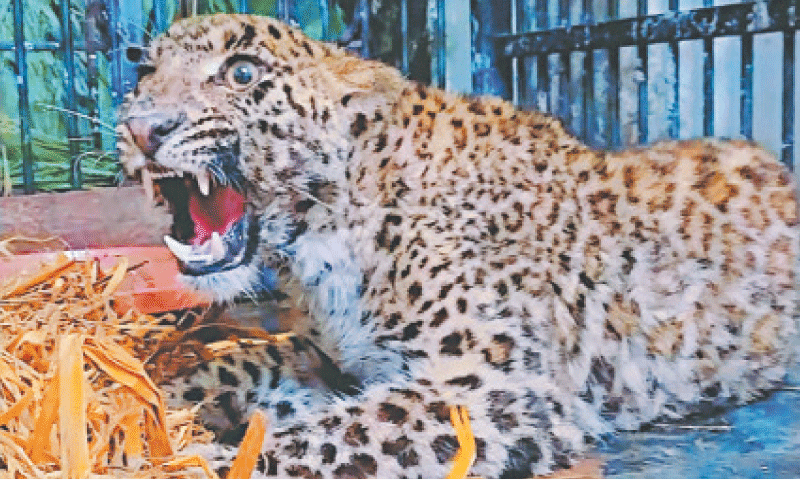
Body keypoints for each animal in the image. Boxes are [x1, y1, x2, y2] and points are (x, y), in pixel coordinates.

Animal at [117, 13, 800, 477]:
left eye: (242, 73)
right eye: (146, 72)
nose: (142, 128)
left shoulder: (492, 387)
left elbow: (319, 438)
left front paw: (186, 462)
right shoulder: (331, 360)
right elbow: (234, 363)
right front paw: (151, 399)